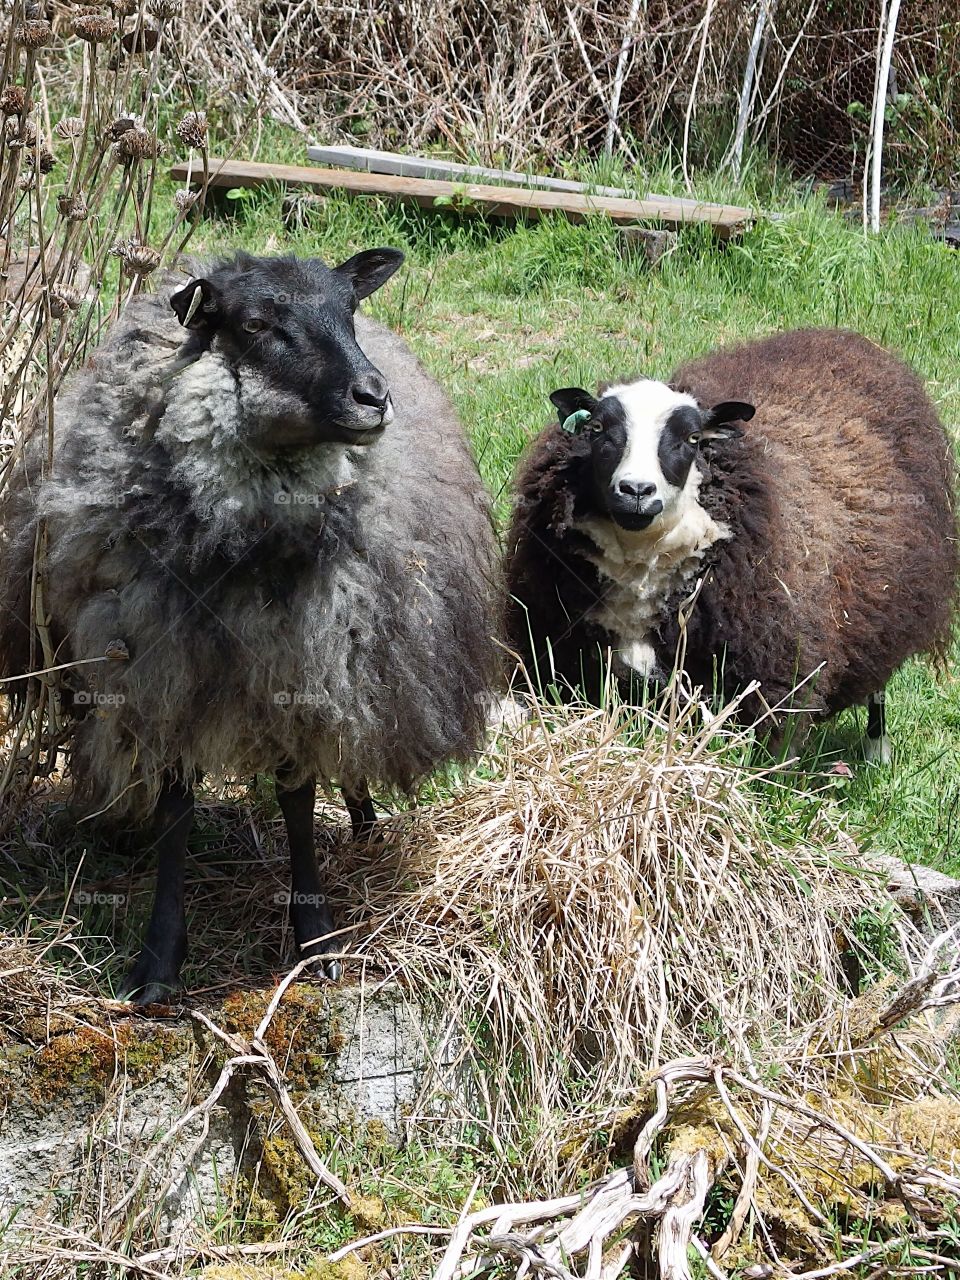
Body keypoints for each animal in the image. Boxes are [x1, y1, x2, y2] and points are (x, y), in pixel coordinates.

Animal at [3, 249, 504, 998]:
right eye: (256, 323)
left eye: (349, 307)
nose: (372, 397)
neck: (243, 542)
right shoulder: (161, 675)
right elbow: (175, 812)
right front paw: (159, 965)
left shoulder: (304, 673)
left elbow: (297, 804)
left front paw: (317, 940)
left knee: (354, 751)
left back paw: (366, 828)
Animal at [506, 327, 957, 757]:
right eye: (598, 430)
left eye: (691, 439)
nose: (636, 490)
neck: (641, 569)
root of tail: (848, 339)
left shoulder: (769, 675)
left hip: (889, 598)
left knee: (879, 678)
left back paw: (877, 750)